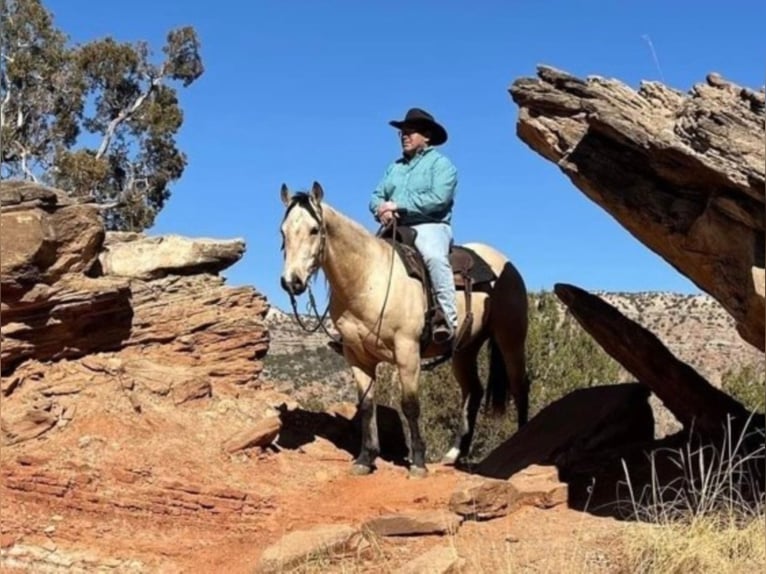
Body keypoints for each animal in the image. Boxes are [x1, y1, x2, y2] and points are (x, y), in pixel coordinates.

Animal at [280, 182, 532, 480]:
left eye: (314, 230)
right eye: (282, 232)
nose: (291, 282)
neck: (367, 279)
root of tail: (503, 262)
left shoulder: (407, 351)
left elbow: (410, 405)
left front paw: (418, 462)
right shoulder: (357, 356)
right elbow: (367, 405)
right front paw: (366, 458)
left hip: (510, 338)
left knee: (520, 387)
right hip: (465, 349)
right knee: (473, 391)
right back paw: (455, 455)